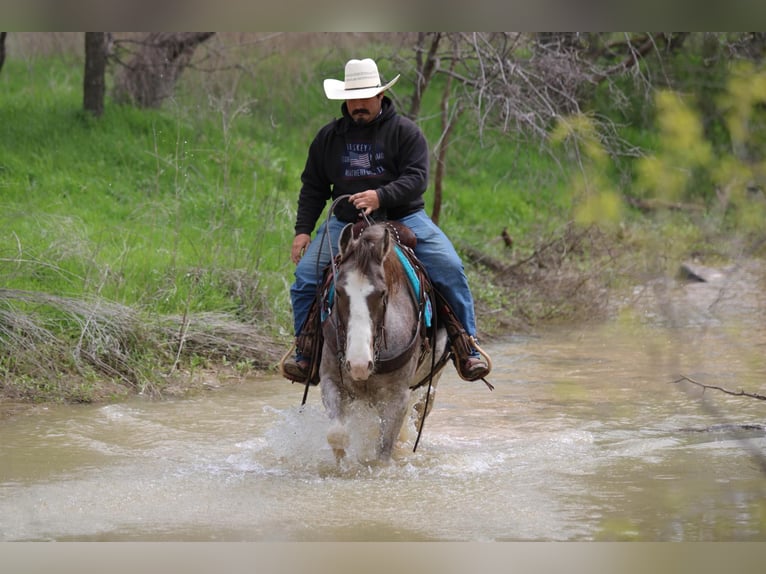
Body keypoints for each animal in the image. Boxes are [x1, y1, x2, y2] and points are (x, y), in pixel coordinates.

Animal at [318, 220, 450, 464]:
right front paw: (342, 464)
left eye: (381, 293)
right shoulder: (331, 381)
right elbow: (337, 434)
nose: (359, 365)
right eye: (338, 291)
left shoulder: (397, 397)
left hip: (430, 383)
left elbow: (383, 453)